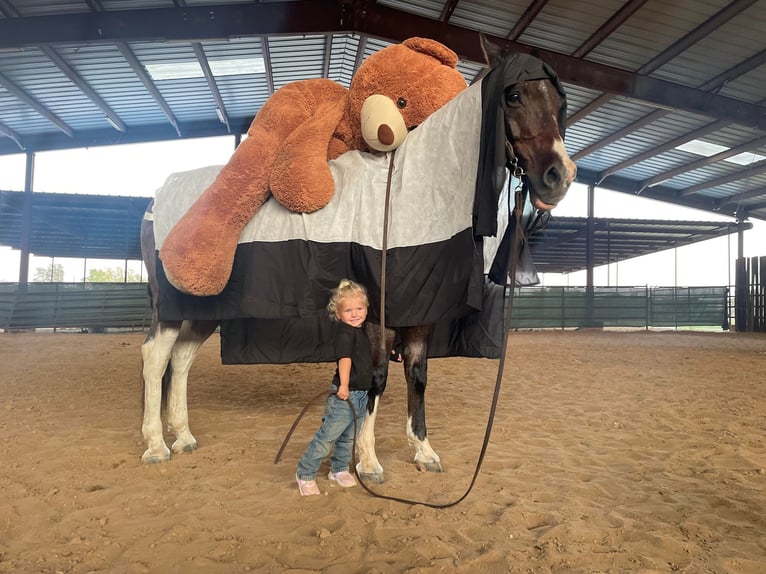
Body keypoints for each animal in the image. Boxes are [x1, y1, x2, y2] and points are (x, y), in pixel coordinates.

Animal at [138, 39, 576, 486]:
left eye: (561, 101)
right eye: (514, 95)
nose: (559, 177)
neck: (407, 194)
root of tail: (155, 201)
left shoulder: (420, 312)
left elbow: (417, 376)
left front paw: (423, 451)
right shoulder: (377, 314)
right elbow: (377, 376)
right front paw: (368, 460)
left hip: (204, 310)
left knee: (182, 359)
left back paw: (184, 437)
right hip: (172, 307)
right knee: (156, 357)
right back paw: (157, 446)